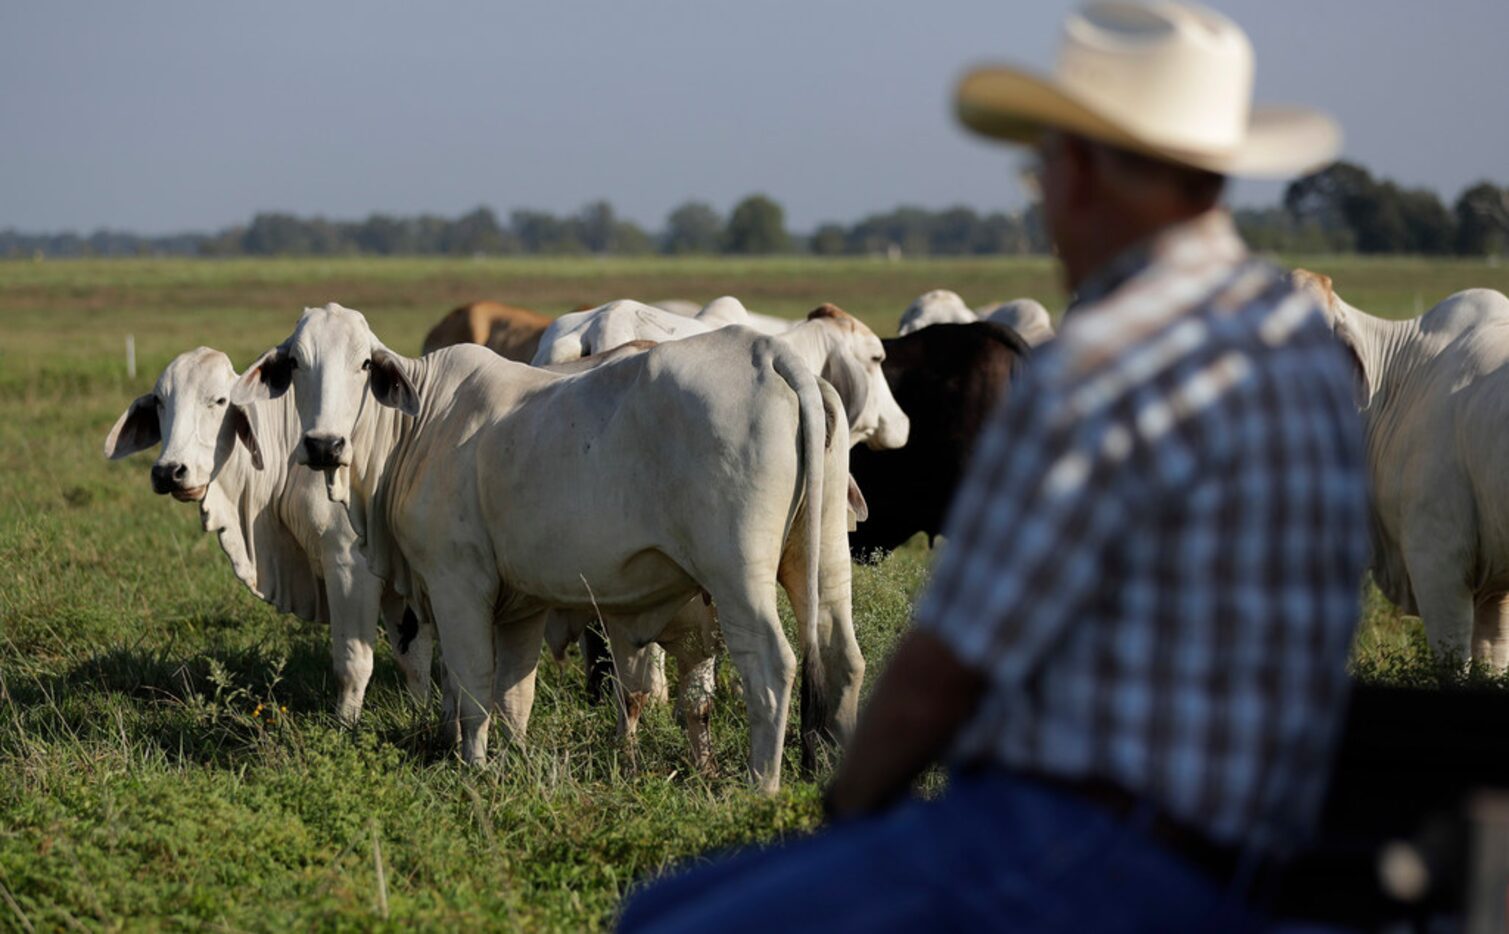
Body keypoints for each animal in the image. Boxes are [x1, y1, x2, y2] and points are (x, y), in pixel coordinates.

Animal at [103, 347, 434, 721]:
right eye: (160, 401)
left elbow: (353, 664)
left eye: (219, 400)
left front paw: (345, 725)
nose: (169, 471)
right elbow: (414, 659)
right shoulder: (400, 577)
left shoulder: (351, 566)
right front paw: (420, 714)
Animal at [239, 306, 869, 790]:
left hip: (737, 573)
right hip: (822, 558)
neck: (420, 424)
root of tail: (771, 354)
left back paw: (762, 784)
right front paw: (513, 758)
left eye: (365, 363)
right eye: (295, 363)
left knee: (772, 665)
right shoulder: (520, 605)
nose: (324, 444)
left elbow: (472, 682)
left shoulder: (457, 582)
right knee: (842, 658)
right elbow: (515, 693)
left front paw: (474, 768)